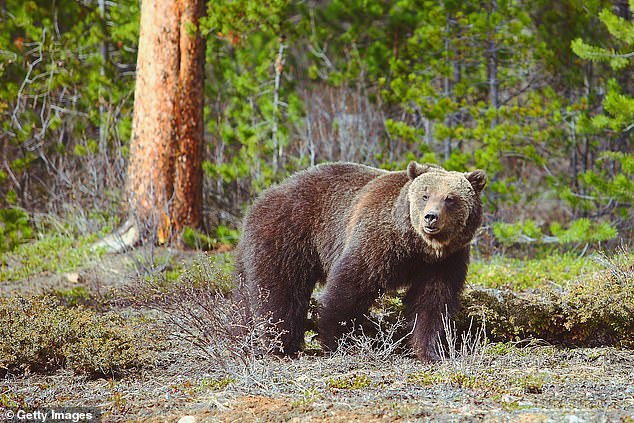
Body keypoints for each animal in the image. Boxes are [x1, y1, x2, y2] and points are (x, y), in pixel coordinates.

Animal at [232, 161, 484, 362]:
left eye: (450, 199)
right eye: (425, 194)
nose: (431, 217)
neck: (417, 247)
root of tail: (263, 196)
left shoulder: (446, 262)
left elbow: (433, 302)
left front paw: (432, 351)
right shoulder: (376, 241)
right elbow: (350, 287)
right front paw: (338, 341)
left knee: (244, 296)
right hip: (287, 235)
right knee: (279, 292)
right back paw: (281, 345)